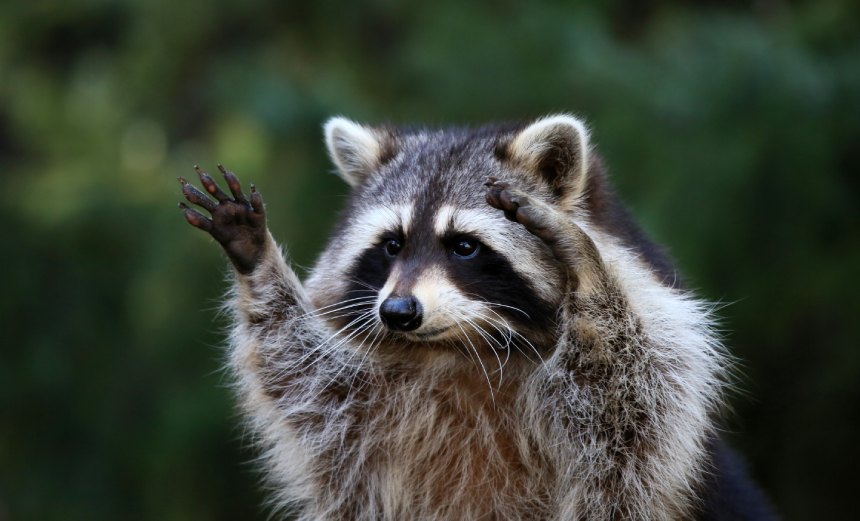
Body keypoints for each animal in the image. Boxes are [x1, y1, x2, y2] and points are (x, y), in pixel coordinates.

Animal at [178, 115, 776, 520]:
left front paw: (588, 271)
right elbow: (301, 374)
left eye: (464, 246)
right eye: (391, 245)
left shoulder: (655, 385)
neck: (466, 347)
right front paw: (258, 261)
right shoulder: (360, 406)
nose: (398, 312)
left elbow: (636, 405)